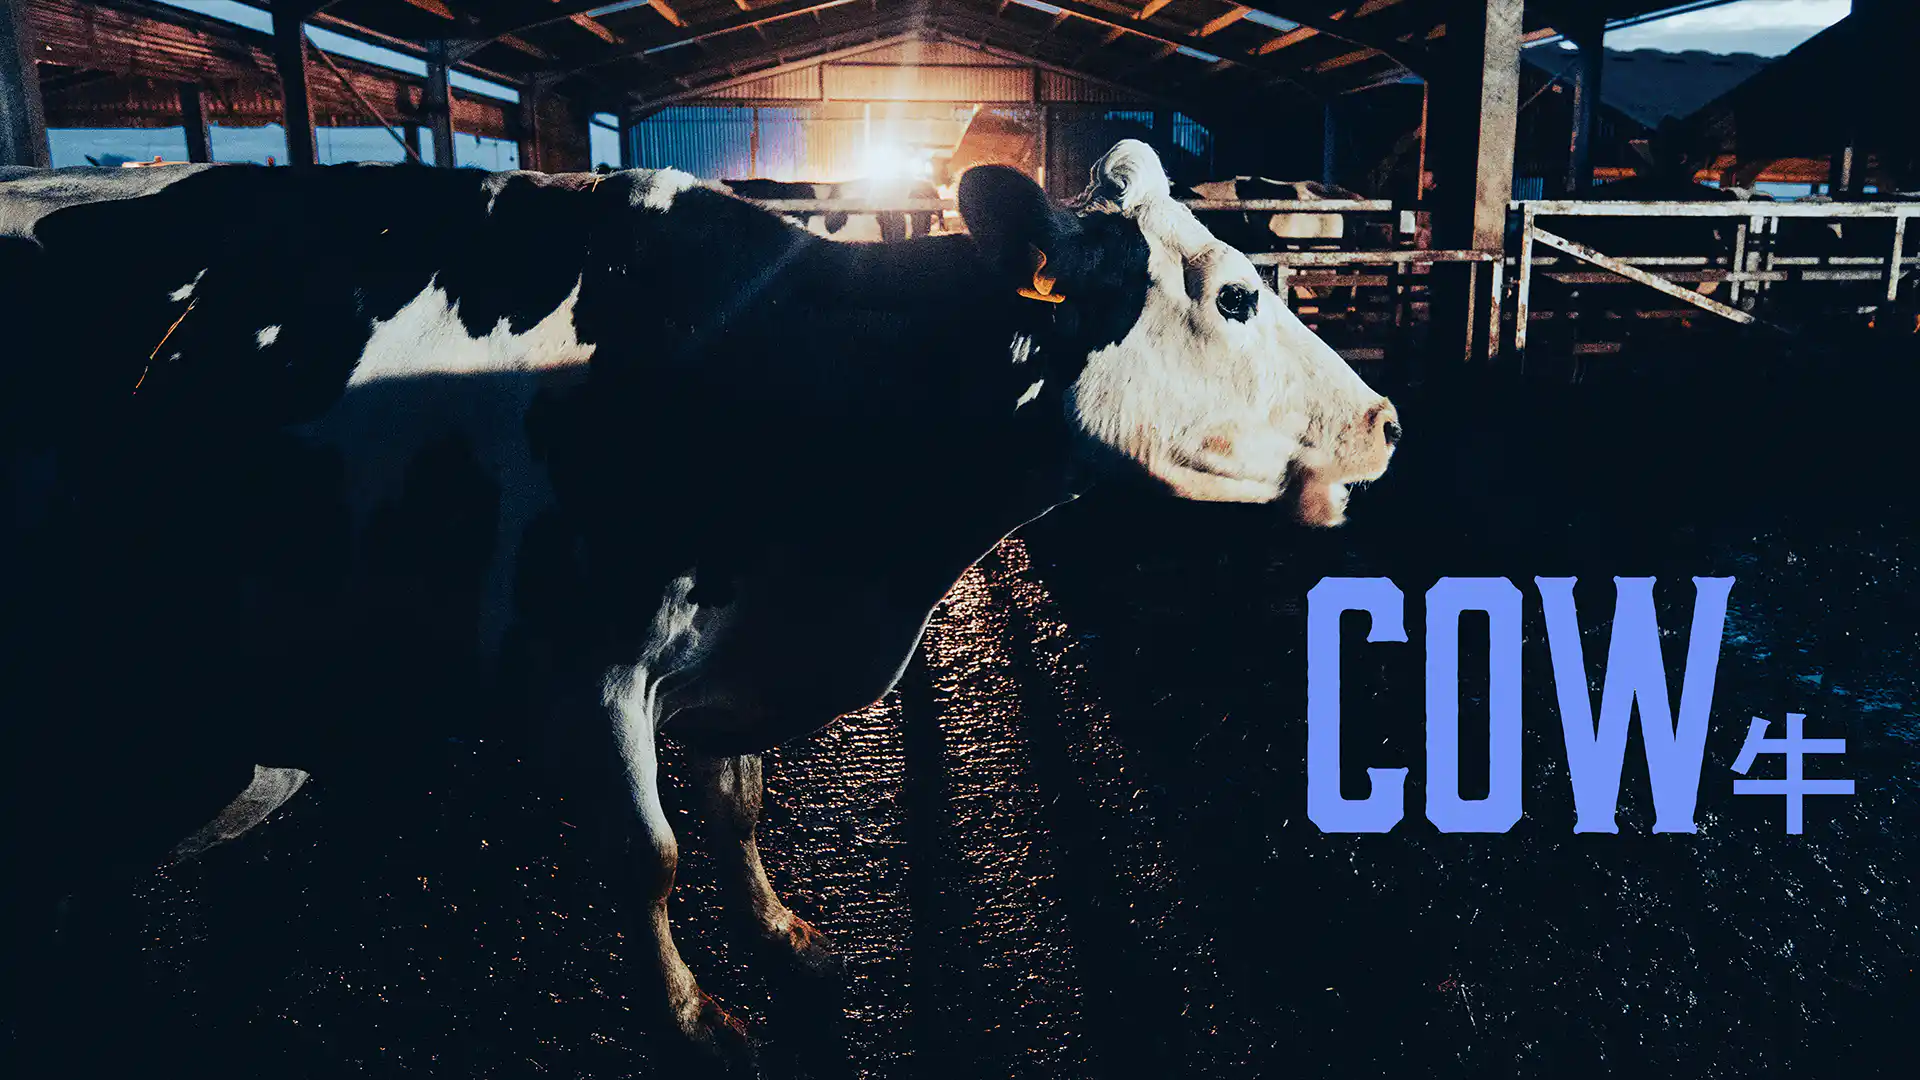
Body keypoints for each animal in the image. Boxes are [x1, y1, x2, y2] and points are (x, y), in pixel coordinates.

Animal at [0, 141, 1400, 1075]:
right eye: (1233, 294)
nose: (1385, 423)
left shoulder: (732, 660)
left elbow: (735, 810)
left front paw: (783, 935)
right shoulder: (588, 671)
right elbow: (652, 854)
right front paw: (689, 1016)